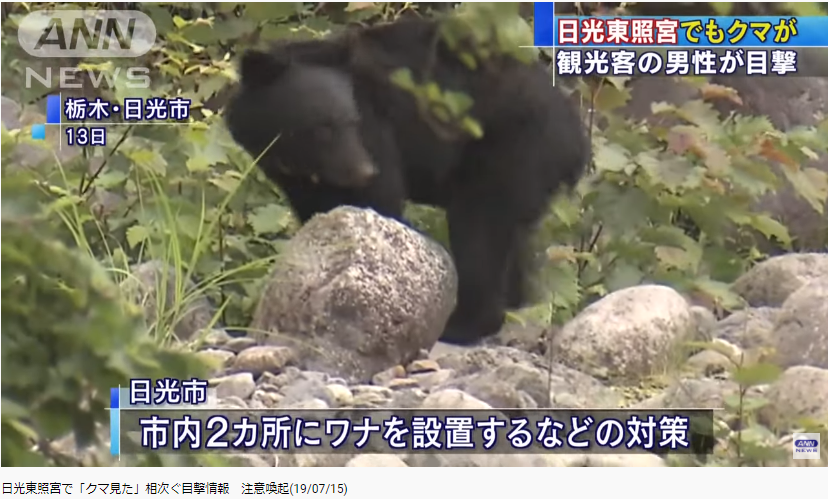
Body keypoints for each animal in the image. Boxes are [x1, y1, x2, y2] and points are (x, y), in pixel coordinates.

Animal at [225, 17, 591, 346]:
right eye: (321, 128)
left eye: (351, 121)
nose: (363, 169)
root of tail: (577, 138)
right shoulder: (292, 174)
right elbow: (316, 212)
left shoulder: (378, 134)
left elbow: (380, 201)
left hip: (511, 150)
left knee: (480, 228)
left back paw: (462, 326)